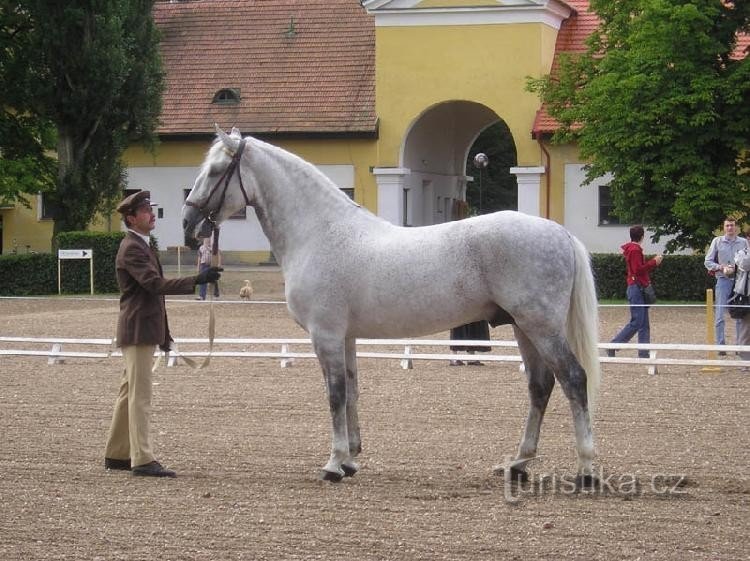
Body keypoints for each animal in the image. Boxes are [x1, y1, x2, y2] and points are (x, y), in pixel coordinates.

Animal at [185, 126, 604, 482]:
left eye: (217, 170)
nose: (189, 224)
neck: (321, 233)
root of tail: (560, 233)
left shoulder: (326, 335)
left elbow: (335, 394)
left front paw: (333, 464)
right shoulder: (345, 337)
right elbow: (351, 390)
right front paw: (350, 459)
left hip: (540, 326)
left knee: (573, 379)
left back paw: (585, 469)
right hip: (523, 327)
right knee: (540, 386)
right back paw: (518, 463)